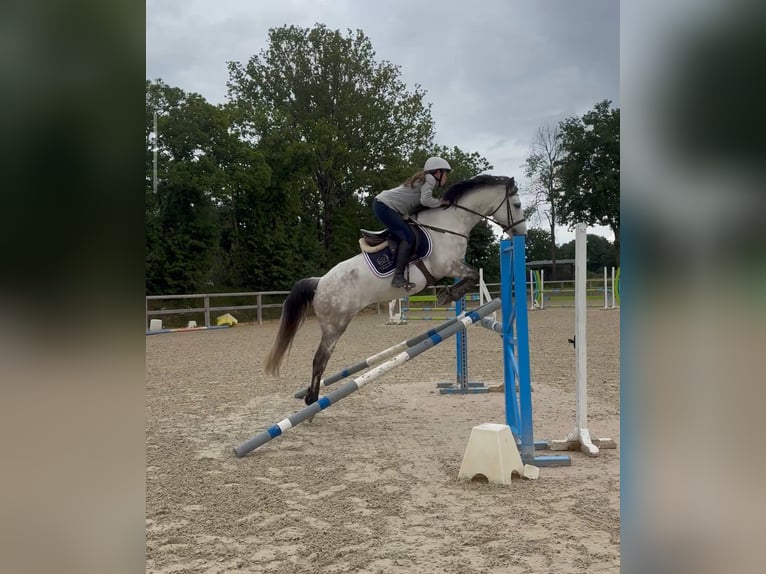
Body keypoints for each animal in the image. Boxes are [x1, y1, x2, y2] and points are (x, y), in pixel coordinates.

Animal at [264, 174, 526, 405]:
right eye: (517, 204)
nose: (521, 233)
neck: (449, 224)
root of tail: (320, 283)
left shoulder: (453, 267)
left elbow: (469, 278)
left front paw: (447, 294)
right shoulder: (449, 265)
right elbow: (472, 276)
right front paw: (447, 295)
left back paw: (311, 398)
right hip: (334, 326)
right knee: (319, 360)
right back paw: (312, 401)